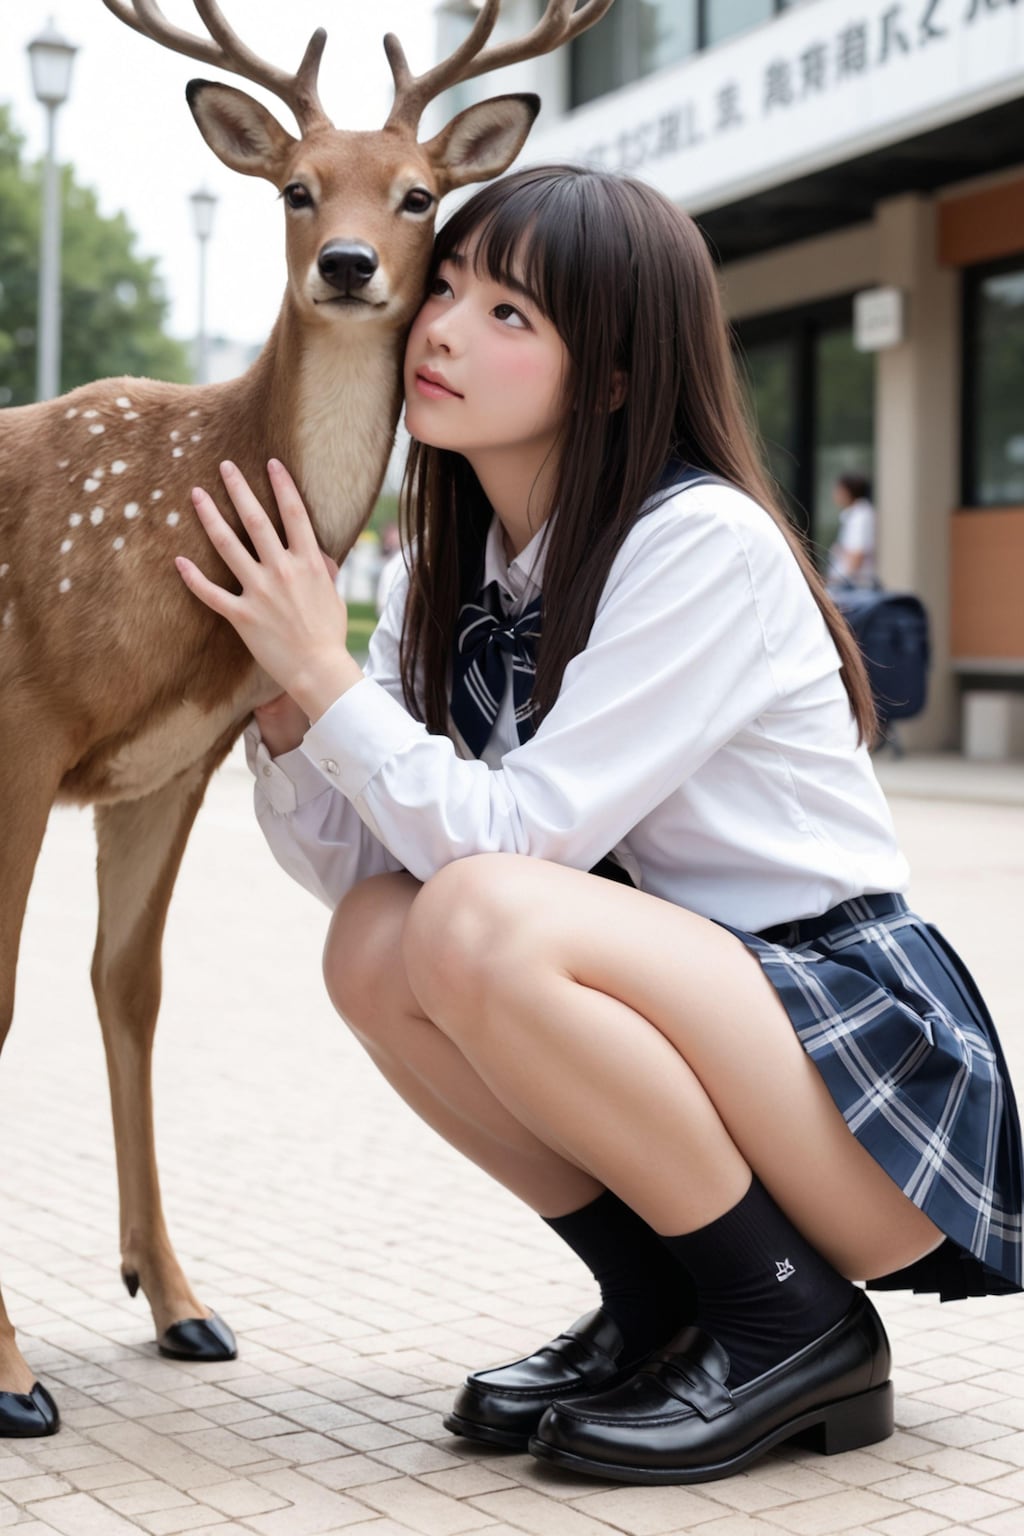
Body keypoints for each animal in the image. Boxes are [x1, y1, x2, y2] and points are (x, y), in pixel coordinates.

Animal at [0, 0, 615, 1438]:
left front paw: (178, 1302)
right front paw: (8, 1375)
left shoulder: (167, 767)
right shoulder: (22, 722)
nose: (344, 263)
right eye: (293, 186)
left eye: (417, 193)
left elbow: (128, 988)